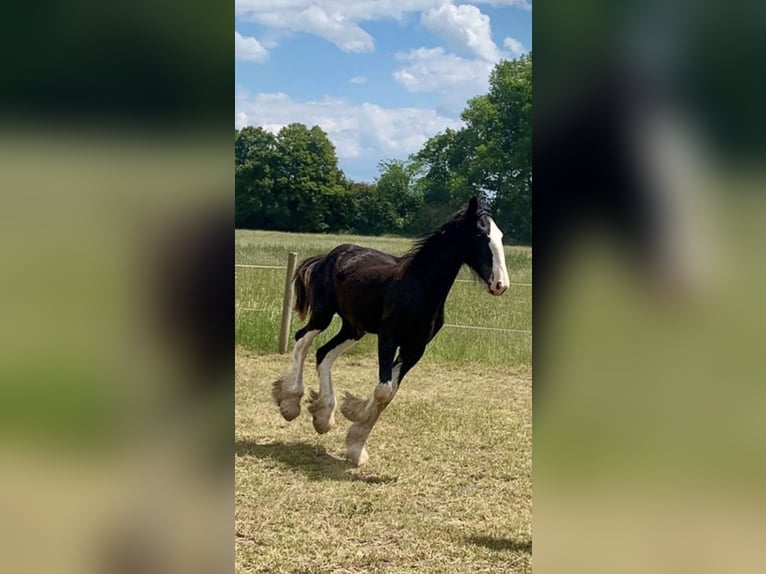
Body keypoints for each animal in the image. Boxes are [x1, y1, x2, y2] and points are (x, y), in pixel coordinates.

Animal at [271, 196, 510, 466]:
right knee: (302, 340)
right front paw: (355, 431)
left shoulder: (415, 347)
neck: (418, 288)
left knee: (324, 353)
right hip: (323, 314)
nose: (500, 285)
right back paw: (290, 402)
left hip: (354, 328)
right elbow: (383, 390)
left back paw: (323, 416)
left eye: (500, 235)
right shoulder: (388, 338)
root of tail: (328, 256)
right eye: (481, 235)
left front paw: (354, 427)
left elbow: (389, 392)